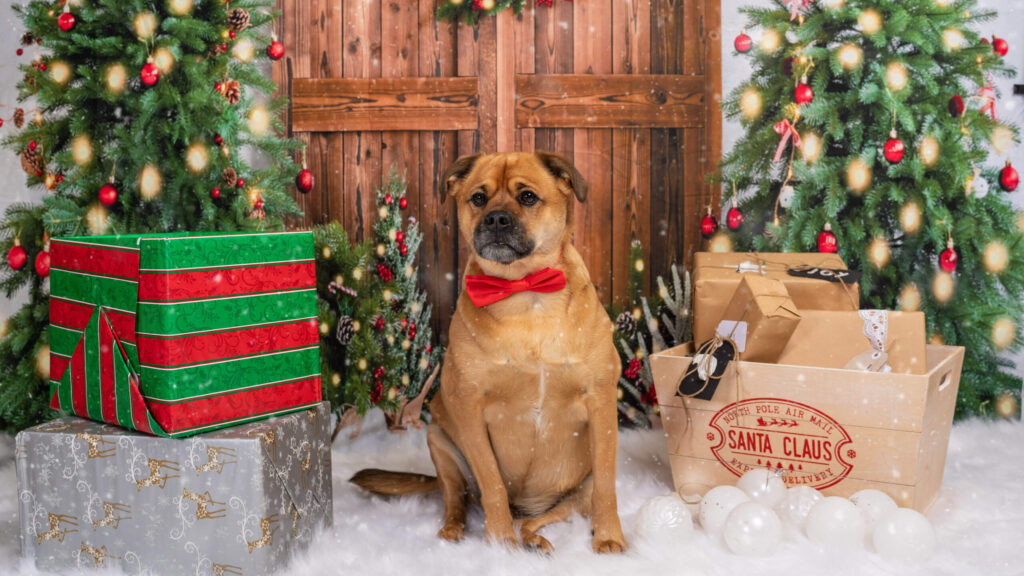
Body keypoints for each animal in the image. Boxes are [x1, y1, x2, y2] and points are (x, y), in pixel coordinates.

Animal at [352, 151, 622, 553]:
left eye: (528, 197)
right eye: (478, 198)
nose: (495, 218)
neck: (526, 294)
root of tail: (525, 507)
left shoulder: (601, 401)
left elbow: (607, 482)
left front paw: (608, 537)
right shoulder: (470, 407)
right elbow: (492, 482)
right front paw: (500, 543)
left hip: (574, 495)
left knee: (543, 518)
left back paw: (534, 539)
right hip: (440, 442)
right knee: (457, 498)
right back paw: (457, 531)